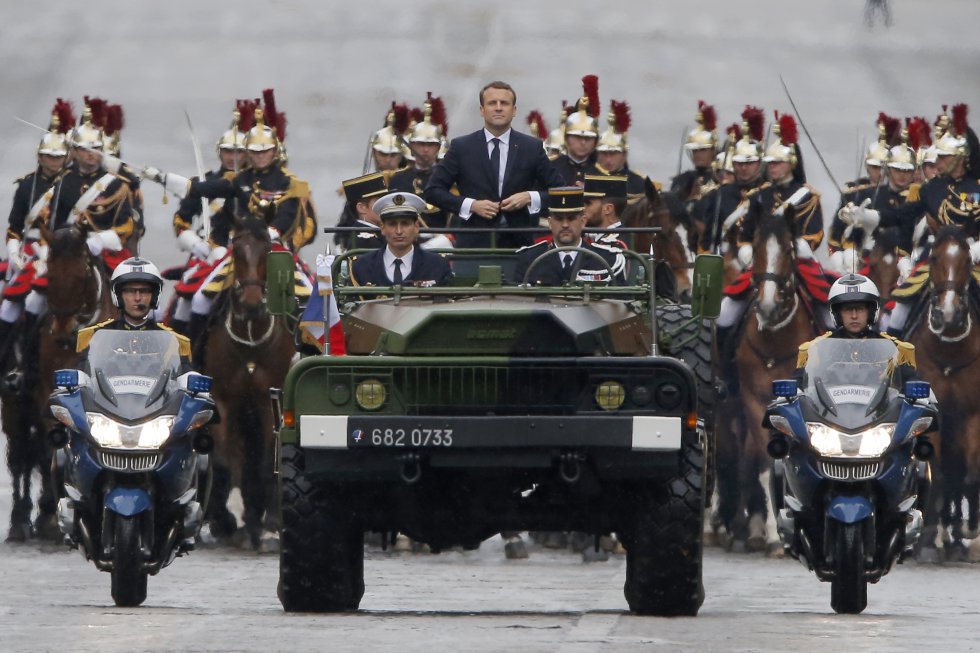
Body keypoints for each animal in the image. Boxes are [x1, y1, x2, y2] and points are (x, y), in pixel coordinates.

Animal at [202, 215, 294, 552]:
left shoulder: (269, 402)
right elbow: (222, 463)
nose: (253, 303)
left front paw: (272, 523)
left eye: (267, 249)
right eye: (236, 250)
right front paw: (227, 520)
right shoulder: (222, 401)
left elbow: (269, 459)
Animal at [712, 208, 820, 552]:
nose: (769, 305)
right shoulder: (753, 400)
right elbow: (764, 460)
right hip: (728, 406)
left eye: (788, 249)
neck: (775, 341)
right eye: (757, 249)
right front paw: (774, 532)